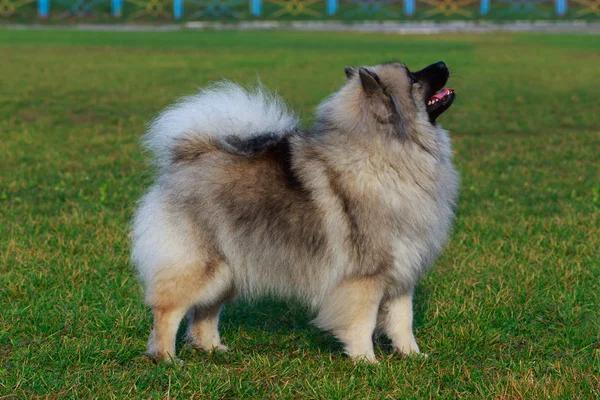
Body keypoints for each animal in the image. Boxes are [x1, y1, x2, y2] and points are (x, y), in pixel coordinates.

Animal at [131, 61, 460, 364]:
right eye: (414, 78)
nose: (443, 64)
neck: (385, 158)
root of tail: (190, 156)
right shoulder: (364, 277)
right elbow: (362, 323)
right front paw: (366, 361)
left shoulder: (402, 273)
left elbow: (403, 321)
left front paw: (413, 356)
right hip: (201, 266)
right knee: (167, 310)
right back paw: (166, 358)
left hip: (229, 270)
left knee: (205, 312)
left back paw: (212, 348)